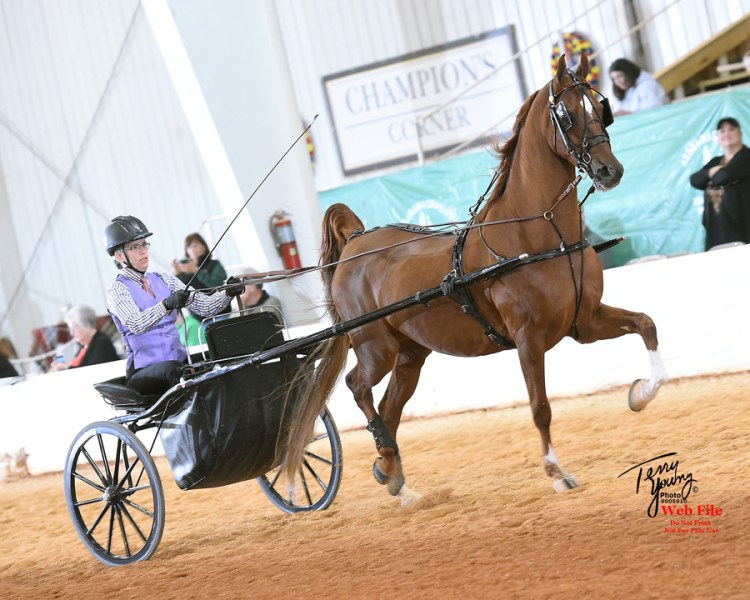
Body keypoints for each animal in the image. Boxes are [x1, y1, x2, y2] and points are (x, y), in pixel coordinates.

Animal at [284, 54, 668, 505]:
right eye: (567, 114)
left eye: (600, 106)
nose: (611, 171)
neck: (542, 236)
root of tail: (357, 242)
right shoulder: (528, 339)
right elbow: (540, 406)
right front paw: (557, 472)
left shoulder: (585, 321)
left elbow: (646, 324)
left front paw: (640, 394)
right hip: (375, 347)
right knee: (359, 386)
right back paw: (386, 459)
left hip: (410, 354)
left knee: (391, 406)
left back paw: (393, 473)